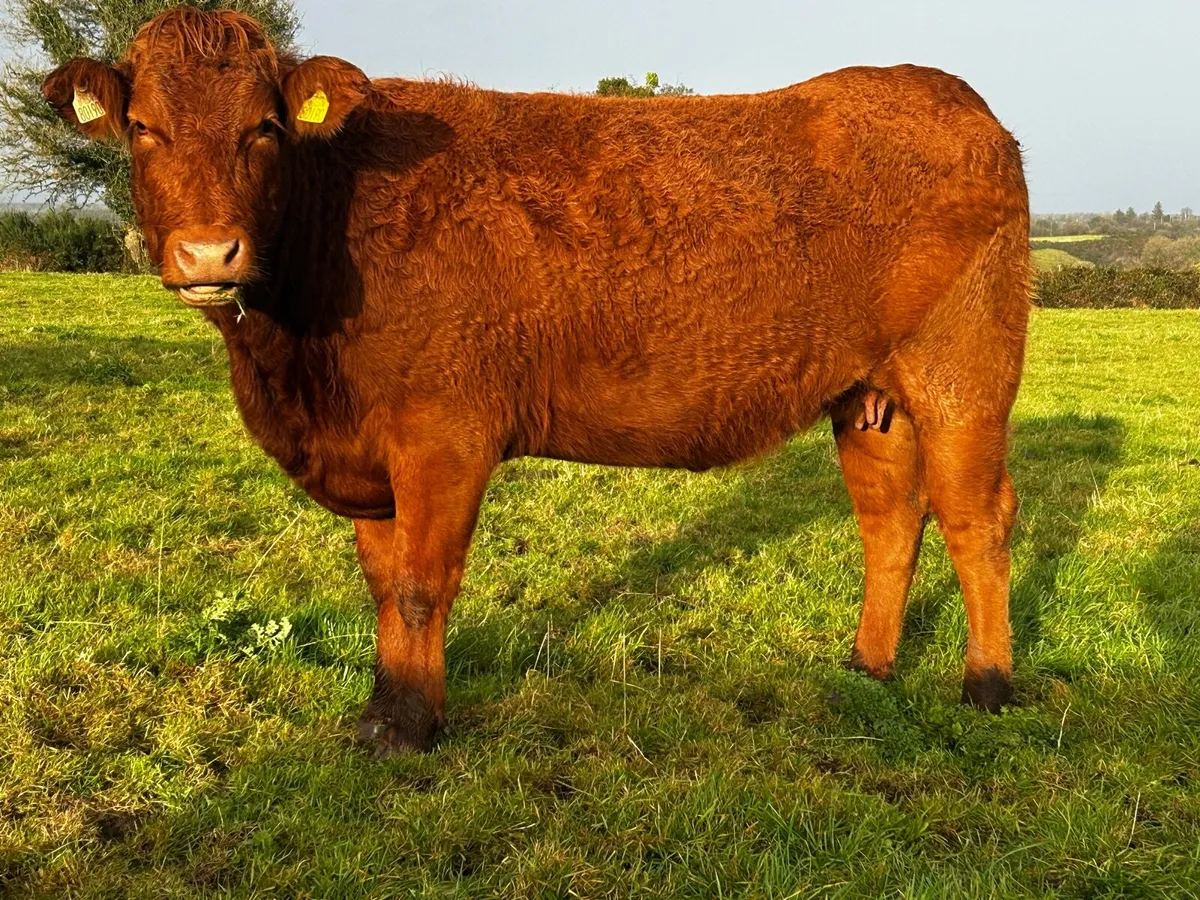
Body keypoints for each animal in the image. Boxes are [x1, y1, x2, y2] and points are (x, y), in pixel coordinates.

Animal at [44, 8, 1031, 756]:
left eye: (264, 128)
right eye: (143, 128)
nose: (210, 253)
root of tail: (950, 97)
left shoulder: (442, 436)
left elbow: (420, 584)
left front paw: (412, 728)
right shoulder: (369, 457)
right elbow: (382, 584)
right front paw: (378, 711)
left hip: (966, 373)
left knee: (977, 518)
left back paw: (987, 684)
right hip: (868, 396)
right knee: (890, 517)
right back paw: (866, 668)